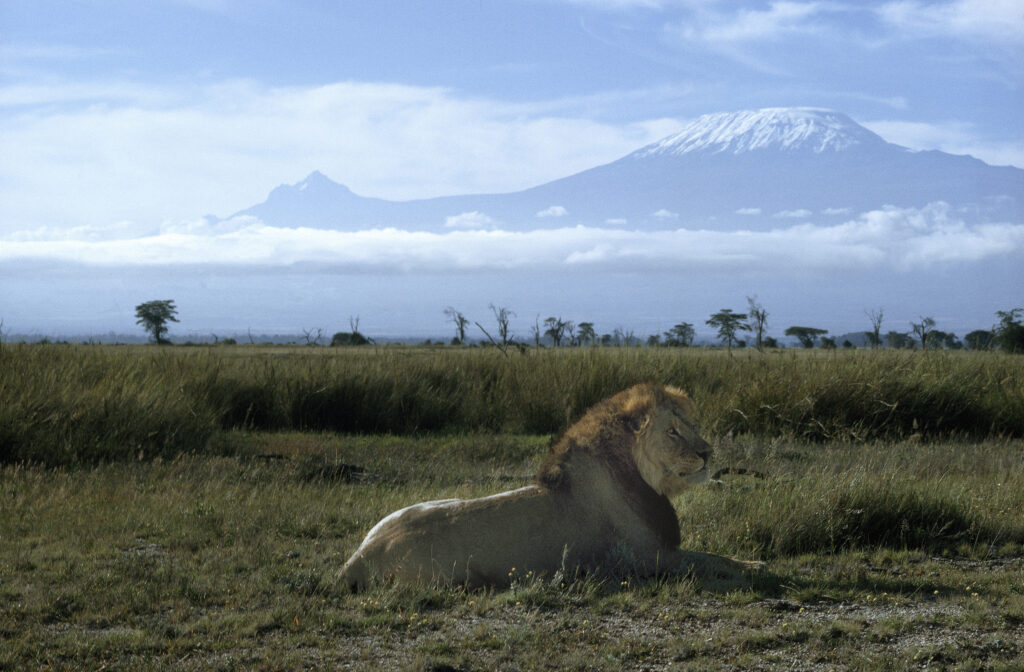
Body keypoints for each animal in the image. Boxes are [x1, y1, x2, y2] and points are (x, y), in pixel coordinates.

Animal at [338, 383, 754, 591]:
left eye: (692, 425)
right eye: (672, 432)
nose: (708, 453)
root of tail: (356, 559)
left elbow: (717, 557)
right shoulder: (653, 559)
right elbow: (716, 560)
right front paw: (755, 564)